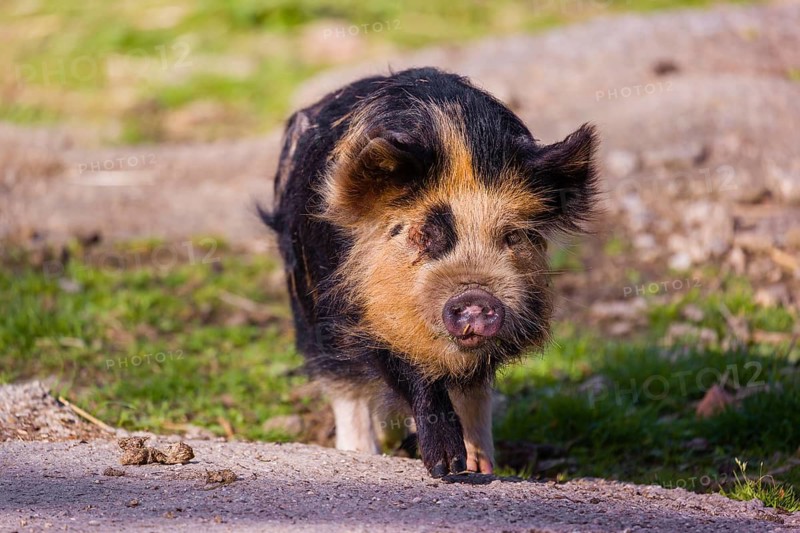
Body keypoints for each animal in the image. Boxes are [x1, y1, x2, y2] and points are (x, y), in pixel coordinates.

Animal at [261, 67, 598, 478]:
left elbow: (473, 390)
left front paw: (477, 468)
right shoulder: (362, 313)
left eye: (512, 235)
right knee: (347, 388)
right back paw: (361, 453)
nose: (474, 295)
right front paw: (447, 468)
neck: (458, 139)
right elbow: (410, 373)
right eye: (424, 234)